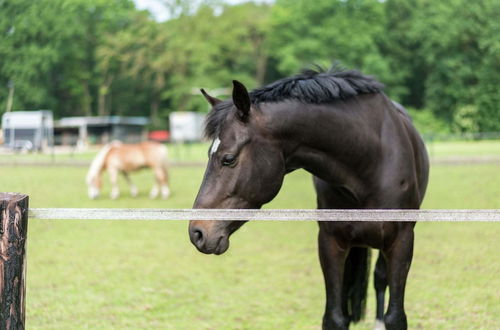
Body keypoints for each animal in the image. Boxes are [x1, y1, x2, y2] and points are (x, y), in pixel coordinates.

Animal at [189, 68, 428, 328]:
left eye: (229, 159)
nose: (197, 232)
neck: (370, 160)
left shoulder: (402, 241)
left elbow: (395, 317)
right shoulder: (330, 242)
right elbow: (334, 317)